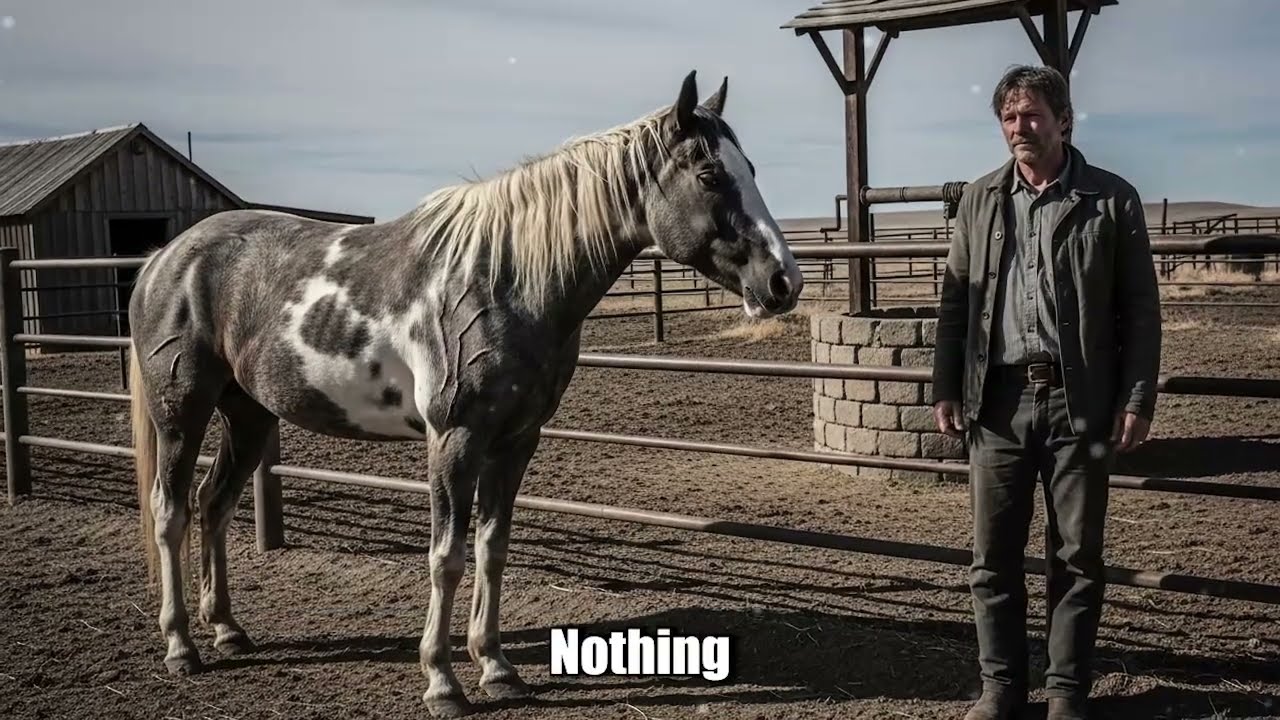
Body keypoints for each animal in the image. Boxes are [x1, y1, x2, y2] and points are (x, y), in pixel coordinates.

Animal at [128, 70, 803, 717]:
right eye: (710, 174)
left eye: (751, 169)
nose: (783, 282)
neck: (504, 280)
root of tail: (164, 258)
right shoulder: (454, 439)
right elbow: (446, 556)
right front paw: (442, 682)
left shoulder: (516, 441)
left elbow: (492, 548)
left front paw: (497, 669)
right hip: (181, 413)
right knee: (171, 511)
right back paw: (181, 645)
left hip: (248, 416)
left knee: (214, 504)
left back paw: (228, 630)